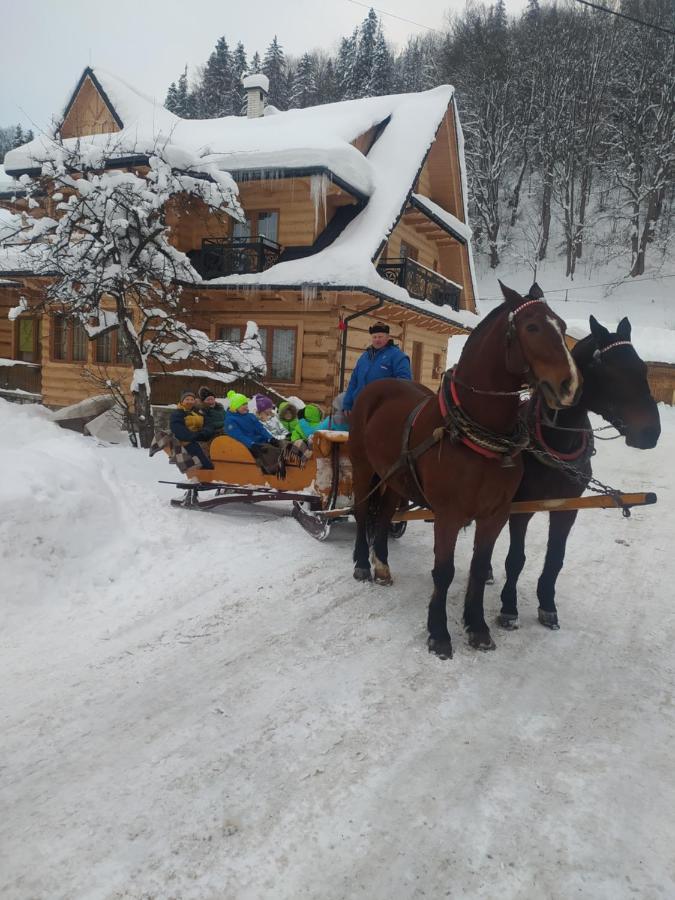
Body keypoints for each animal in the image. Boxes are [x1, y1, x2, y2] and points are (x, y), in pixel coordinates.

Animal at [348, 284, 580, 660]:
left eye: (560, 325)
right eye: (532, 327)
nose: (569, 385)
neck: (479, 435)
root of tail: (376, 387)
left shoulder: (495, 515)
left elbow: (478, 567)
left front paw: (478, 626)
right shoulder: (448, 515)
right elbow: (444, 571)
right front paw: (439, 633)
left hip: (395, 478)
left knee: (382, 517)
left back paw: (381, 563)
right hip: (362, 466)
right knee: (360, 510)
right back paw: (362, 564)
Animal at [496, 316, 660, 632]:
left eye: (642, 368)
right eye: (608, 369)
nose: (650, 432)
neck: (557, 442)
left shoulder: (567, 508)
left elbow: (556, 558)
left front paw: (547, 605)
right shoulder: (521, 507)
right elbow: (515, 558)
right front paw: (509, 607)